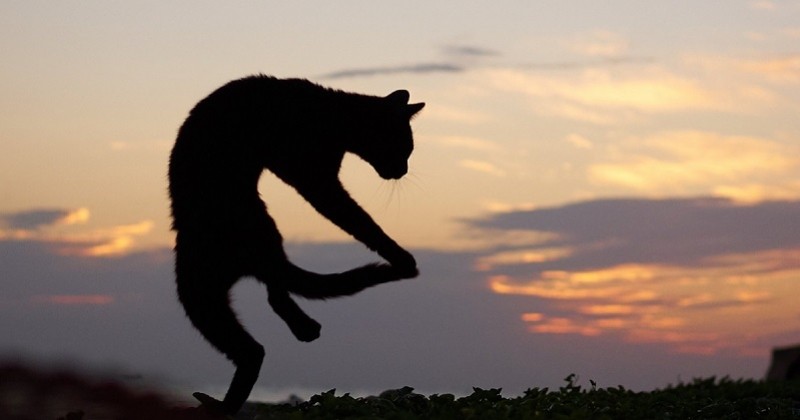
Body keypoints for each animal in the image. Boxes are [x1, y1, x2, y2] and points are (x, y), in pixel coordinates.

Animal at [169, 74, 424, 414]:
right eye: (403, 148)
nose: (403, 171)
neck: (333, 113)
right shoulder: (315, 179)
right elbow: (358, 220)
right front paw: (395, 251)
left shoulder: (316, 178)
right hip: (201, 288)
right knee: (260, 331)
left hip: (206, 291)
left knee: (268, 311)